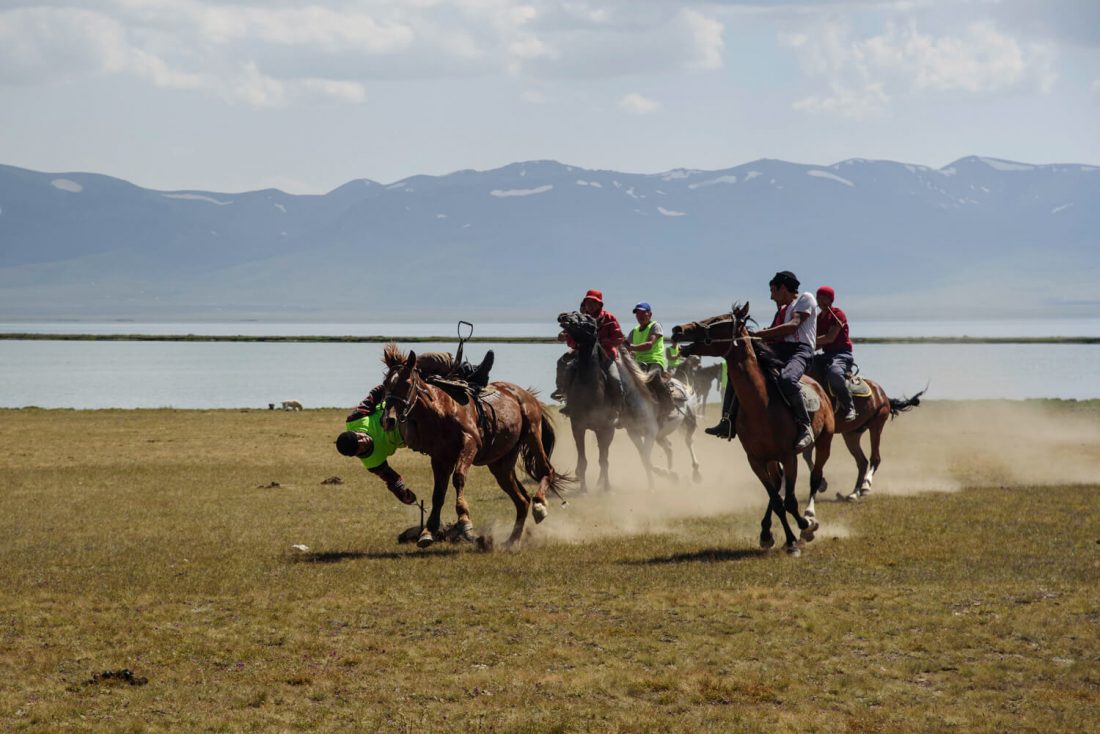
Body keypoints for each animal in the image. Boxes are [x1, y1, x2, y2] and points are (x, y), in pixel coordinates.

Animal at [378, 345, 567, 545]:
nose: (388, 420)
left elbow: (458, 478)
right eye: (386, 384)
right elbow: (438, 493)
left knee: (547, 470)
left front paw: (464, 521)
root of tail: (527, 395)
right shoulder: (439, 458)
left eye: (407, 383)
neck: (441, 411)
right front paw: (428, 532)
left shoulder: (469, 445)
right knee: (522, 500)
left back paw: (539, 506)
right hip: (501, 464)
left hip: (532, 434)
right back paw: (512, 541)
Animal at [668, 303, 831, 556]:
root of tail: (818, 388)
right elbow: (777, 501)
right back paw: (768, 533)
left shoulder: (789, 456)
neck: (761, 404)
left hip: (824, 441)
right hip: (771, 459)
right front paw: (786, 539)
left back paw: (808, 520)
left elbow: (790, 501)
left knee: (814, 479)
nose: (678, 329)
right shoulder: (755, 460)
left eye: (717, 320)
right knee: (777, 487)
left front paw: (803, 529)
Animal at [805, 360, 924, 501]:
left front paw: (821, 483)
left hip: (876, 425)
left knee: (875, 458)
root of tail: (883, 395)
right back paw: (854, 492)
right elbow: (806, 455)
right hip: (851, 434)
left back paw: (865, 486)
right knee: (862, 461)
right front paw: (822, 484)